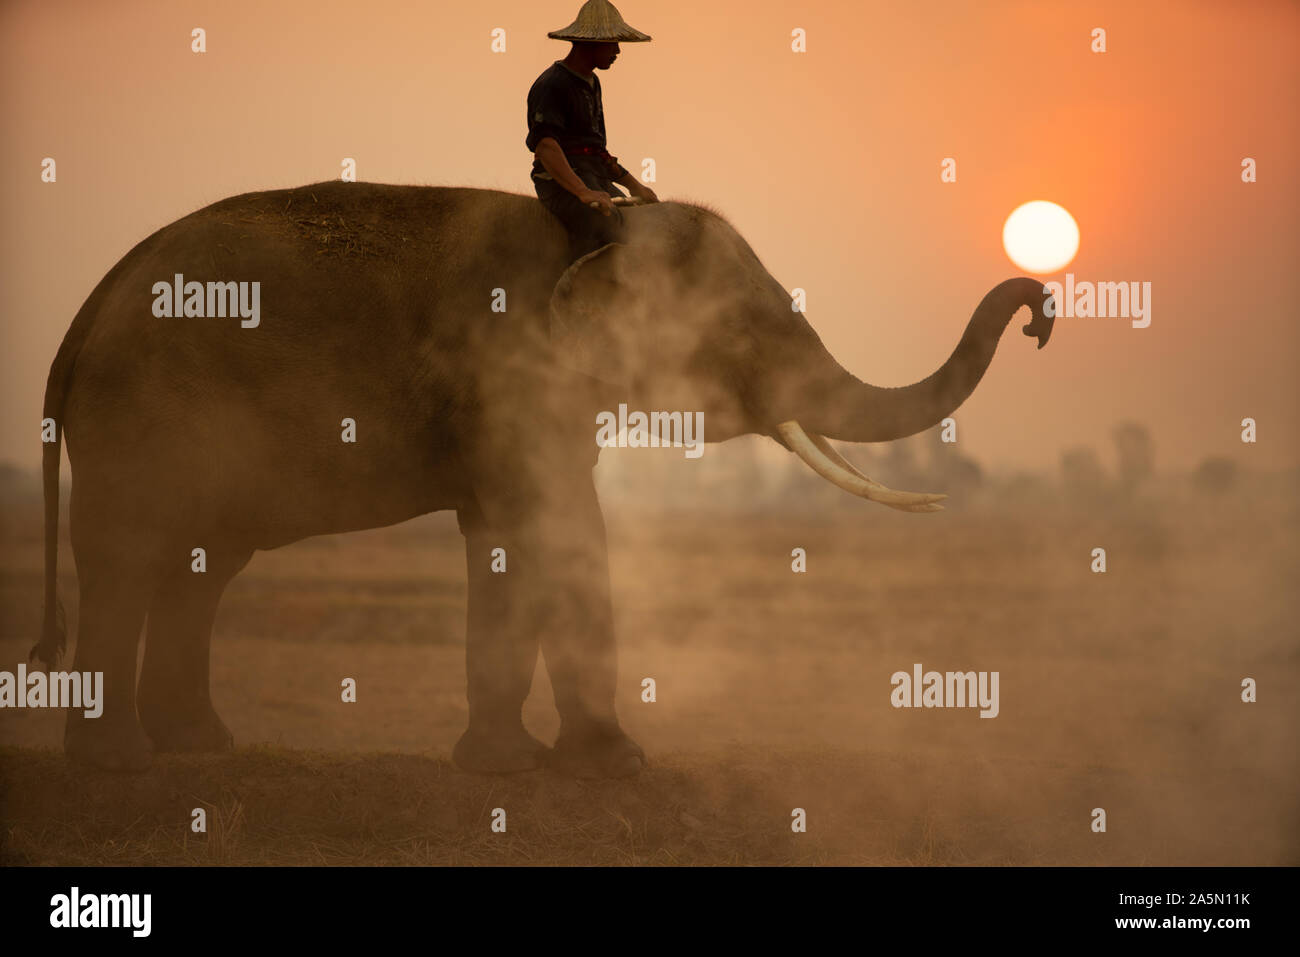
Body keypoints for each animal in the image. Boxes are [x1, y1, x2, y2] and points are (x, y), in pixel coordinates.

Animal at [30, 180, 1055, 780]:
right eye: (743, 332)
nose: (1039, 304)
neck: (599, 233)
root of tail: (91, 303)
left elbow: (503, 537)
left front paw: (502, 762)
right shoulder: (509, 370)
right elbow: (564, 525)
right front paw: (619, 764)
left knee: (201, 565)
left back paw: (198, 747)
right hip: (142, 414)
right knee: (130, 558)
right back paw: (118, 765)